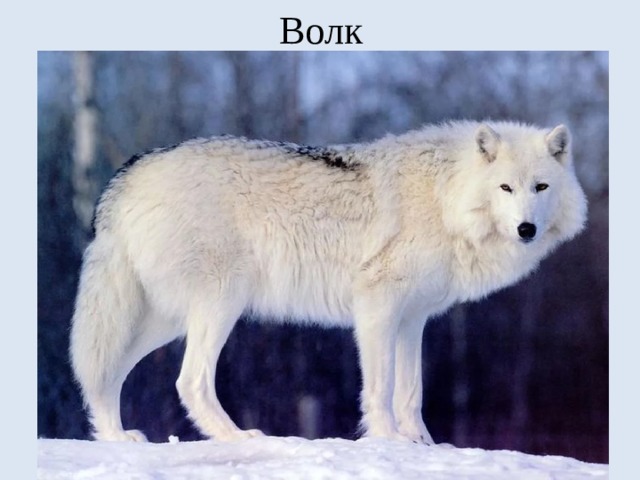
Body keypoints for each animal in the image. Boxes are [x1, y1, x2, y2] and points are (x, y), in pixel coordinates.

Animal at [70, 121, 587, 443]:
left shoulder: (413, 318)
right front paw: (388, 441)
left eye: (540, 187)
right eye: (506, 188)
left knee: (104, 373)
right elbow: (381, 389)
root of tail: (128, 174)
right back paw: (239, 437)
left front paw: (423, 445)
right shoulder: (377, 306)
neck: (447, 199)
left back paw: (117, 438)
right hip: (219, 304)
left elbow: (411, 393)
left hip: (163, 321)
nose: (526, 229)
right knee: (190, 381)